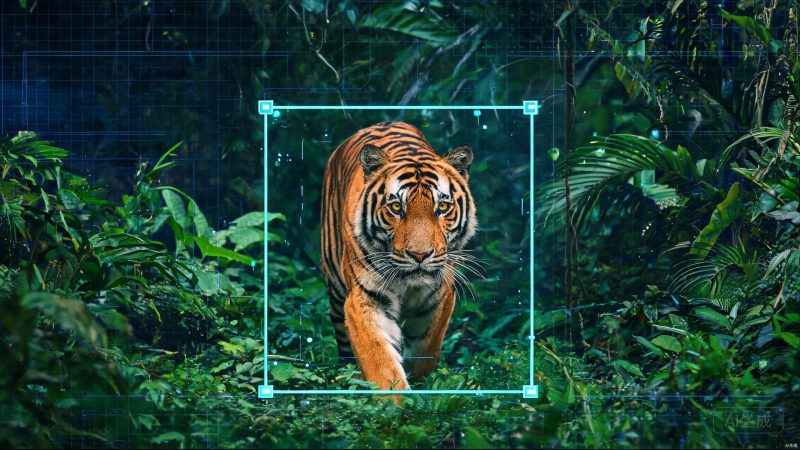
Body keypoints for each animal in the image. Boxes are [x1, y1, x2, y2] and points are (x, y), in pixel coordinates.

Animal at [320, 121, 477, 391]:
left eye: (442, 207)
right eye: (396, 208)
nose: (419, 254)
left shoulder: (439, 297)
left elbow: (425, 352)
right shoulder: (365, 299)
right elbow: (382, 366)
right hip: (336, 292)